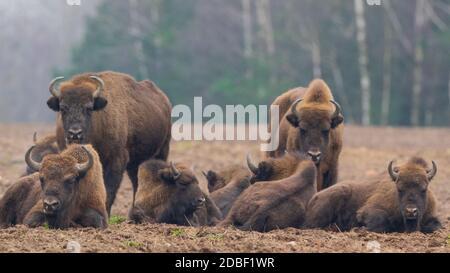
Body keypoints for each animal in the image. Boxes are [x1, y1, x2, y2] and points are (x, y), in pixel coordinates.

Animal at [46, 70, 172, 212]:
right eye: (63, 108)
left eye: (89, 108)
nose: (75, 133)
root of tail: (164, 100)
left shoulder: (116, 161)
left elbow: (109, 190)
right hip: (135, 162)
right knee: (136, 181)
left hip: (162, 150)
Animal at [304, 156, 442, 233]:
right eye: (399, 189)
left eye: (424, 189)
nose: (411, 211)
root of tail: (313, 198)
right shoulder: (367, 211)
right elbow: (381, 221)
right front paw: (359, 229)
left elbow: (436, 226)